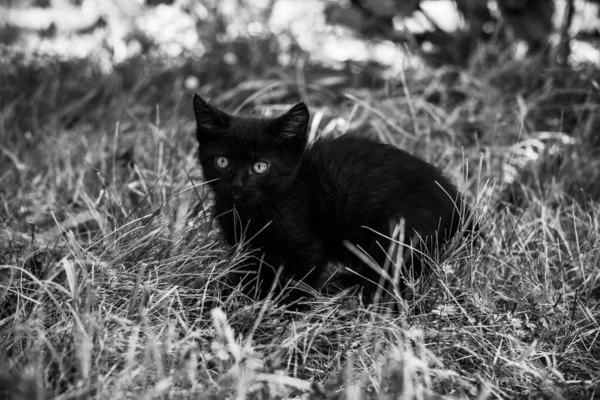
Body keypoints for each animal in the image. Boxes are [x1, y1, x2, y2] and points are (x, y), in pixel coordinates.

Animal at [195, 94, 472, 304]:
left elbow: (298, 281)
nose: (237, 185)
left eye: (260, 167)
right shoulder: (246, 249)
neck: (249, 213)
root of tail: (459, 206)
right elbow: (250, 272)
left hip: (396, 234)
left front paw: (285, 311)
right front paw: (239, 295)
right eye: (222, 162)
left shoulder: (305, 247)